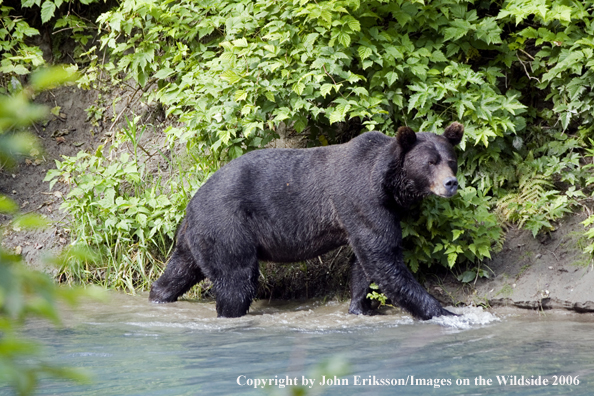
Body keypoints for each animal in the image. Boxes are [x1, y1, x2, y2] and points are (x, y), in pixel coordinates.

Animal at [148, 122, 462, 320]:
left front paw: (360, 306)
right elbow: (384, 257)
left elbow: (365, 263)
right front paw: (445, 312)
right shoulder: (363, 201)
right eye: (430, 162)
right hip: (227, 226)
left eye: (451, 160)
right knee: (236, 282)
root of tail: (191, 203)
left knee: (178, 271)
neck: (388, 185)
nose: (451, 183)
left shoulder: (375, 212)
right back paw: (230, 312)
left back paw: (159, 296)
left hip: (197, 238)